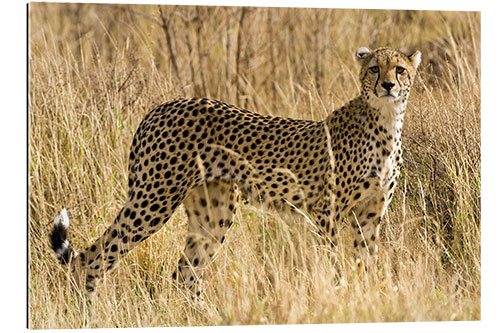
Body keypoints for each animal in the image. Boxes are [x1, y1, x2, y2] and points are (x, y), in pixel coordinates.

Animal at [48, 46, 420, 298]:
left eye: (400, 69)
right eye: (374, 68)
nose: (388, 85)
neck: (386, 123)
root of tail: (161, 106)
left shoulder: (368, 216)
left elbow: (365, 262)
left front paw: (367, 295)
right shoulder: (327, 211)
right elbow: (332, 263)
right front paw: (336, 294)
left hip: (213, 213)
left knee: (185, 273)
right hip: (155, 198)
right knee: (93, 257)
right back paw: (89, 312)